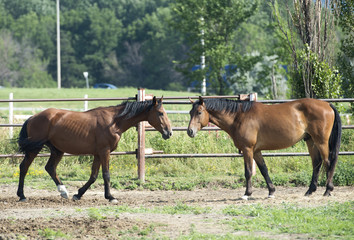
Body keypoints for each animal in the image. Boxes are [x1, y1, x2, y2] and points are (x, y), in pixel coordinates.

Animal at [17, 96, 172, 202]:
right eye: (160, 113)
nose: (169, 132)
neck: (114, 121)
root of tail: (32, 117)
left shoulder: (98, 154)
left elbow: (93, 176)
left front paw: (78, 194)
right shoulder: (105, 152)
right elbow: (106, 174)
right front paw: (110, 197)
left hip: (57, 150)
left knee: (50, 168)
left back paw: (64, 192)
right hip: (35, 149)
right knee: (24, 167)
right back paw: (22, 195)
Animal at [188, 96, 340, 200]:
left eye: (199, 112)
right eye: (190, 113)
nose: (190, 131)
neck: (240, 117)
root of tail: (327, 104)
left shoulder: (248, 149)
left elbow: (248, 172)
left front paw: (247, 194)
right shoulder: (256, 151)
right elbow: (264, 170)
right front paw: (271, 191)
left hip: (321, 141)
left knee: (328, 163)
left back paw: (328, 190)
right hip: (311, 141)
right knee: (317, 163)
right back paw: (310, 190)